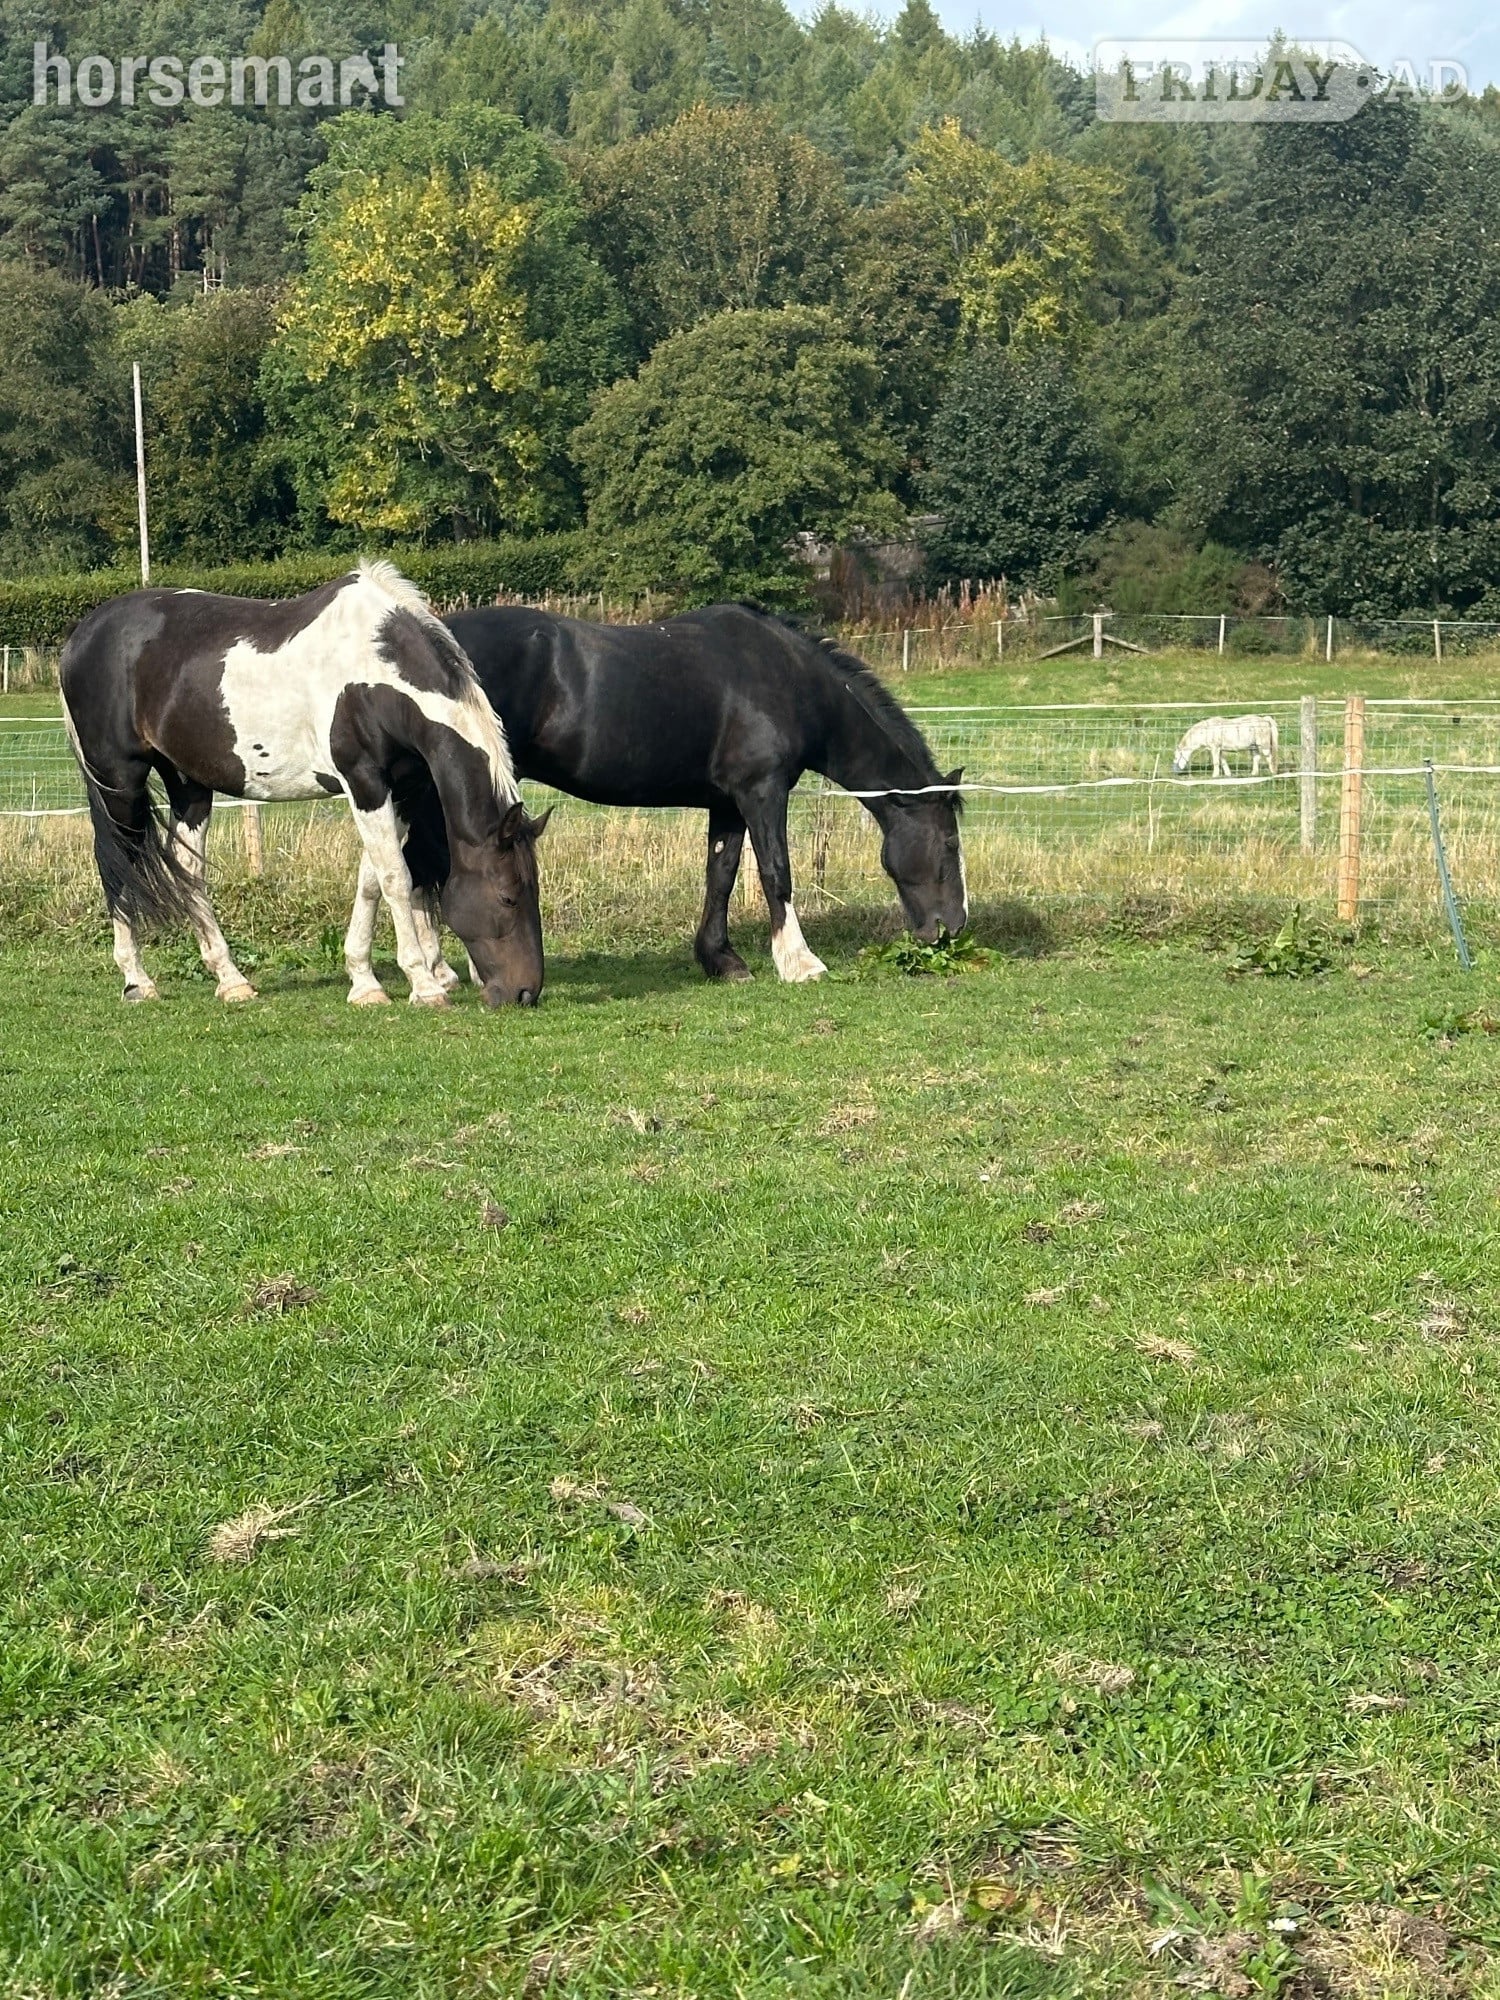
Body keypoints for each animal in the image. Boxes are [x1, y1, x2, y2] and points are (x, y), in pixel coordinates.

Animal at [60, 561, 549, 1009]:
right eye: (508, 897)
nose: (525, 992)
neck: (374, 674)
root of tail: (81, 636)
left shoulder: (401, 790)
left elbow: (371, 879)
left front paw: (364, 982)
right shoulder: (365, 783)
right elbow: (395, 877)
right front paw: (423, 985)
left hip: (189, 785)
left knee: (189, 871)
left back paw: (231, 980)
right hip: (120, 784)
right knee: (117, 867)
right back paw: (136, 980)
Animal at [342, 603, 968, 985]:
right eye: (952, 845)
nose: (950, 929)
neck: (786, 679)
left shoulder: (727, 802)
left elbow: (721, 875)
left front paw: (720, 959)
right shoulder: (763, 793)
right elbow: (776, 871)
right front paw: (799, 961)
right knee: (419, 868)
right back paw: (438, 974)